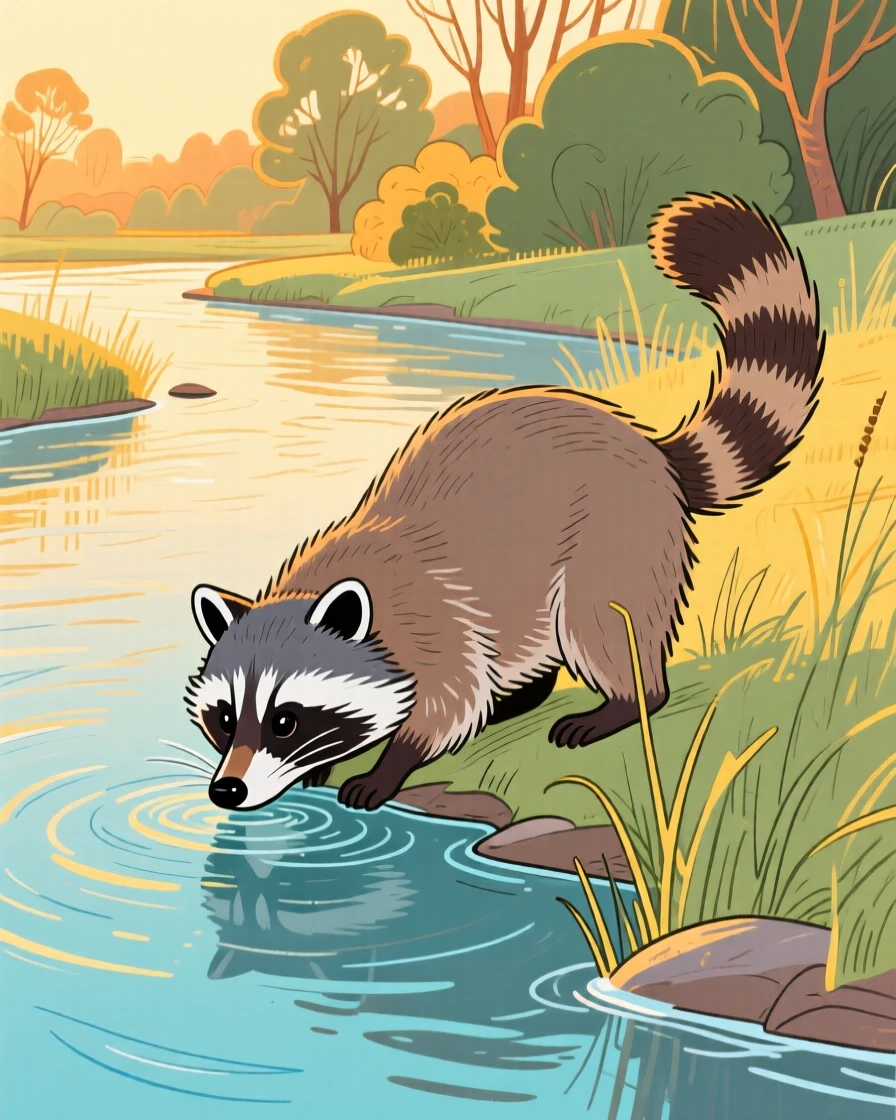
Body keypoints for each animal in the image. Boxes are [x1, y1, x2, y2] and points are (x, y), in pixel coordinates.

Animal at [185, 193, 824, 812]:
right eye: (225, 718)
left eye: (285, 721)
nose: (226, 791)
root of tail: (648, 446)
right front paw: (326, 762)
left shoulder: (435, 625)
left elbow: (448, 703)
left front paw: (388, 766)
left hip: (617, 539)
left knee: (600, 625)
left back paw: (623, 701)